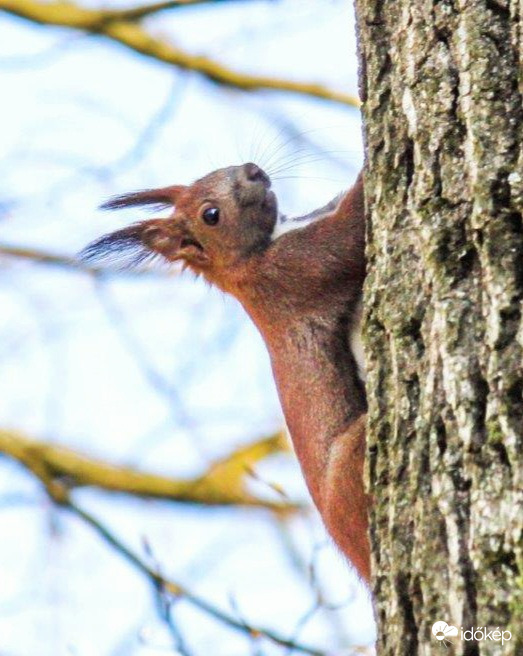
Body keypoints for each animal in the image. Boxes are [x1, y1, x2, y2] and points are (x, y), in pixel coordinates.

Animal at [80, 161, 370, 580]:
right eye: (211, 215)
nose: (253, 170)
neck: (243, 267)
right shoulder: (297, 271)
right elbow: (350, 230)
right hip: (352, 459)